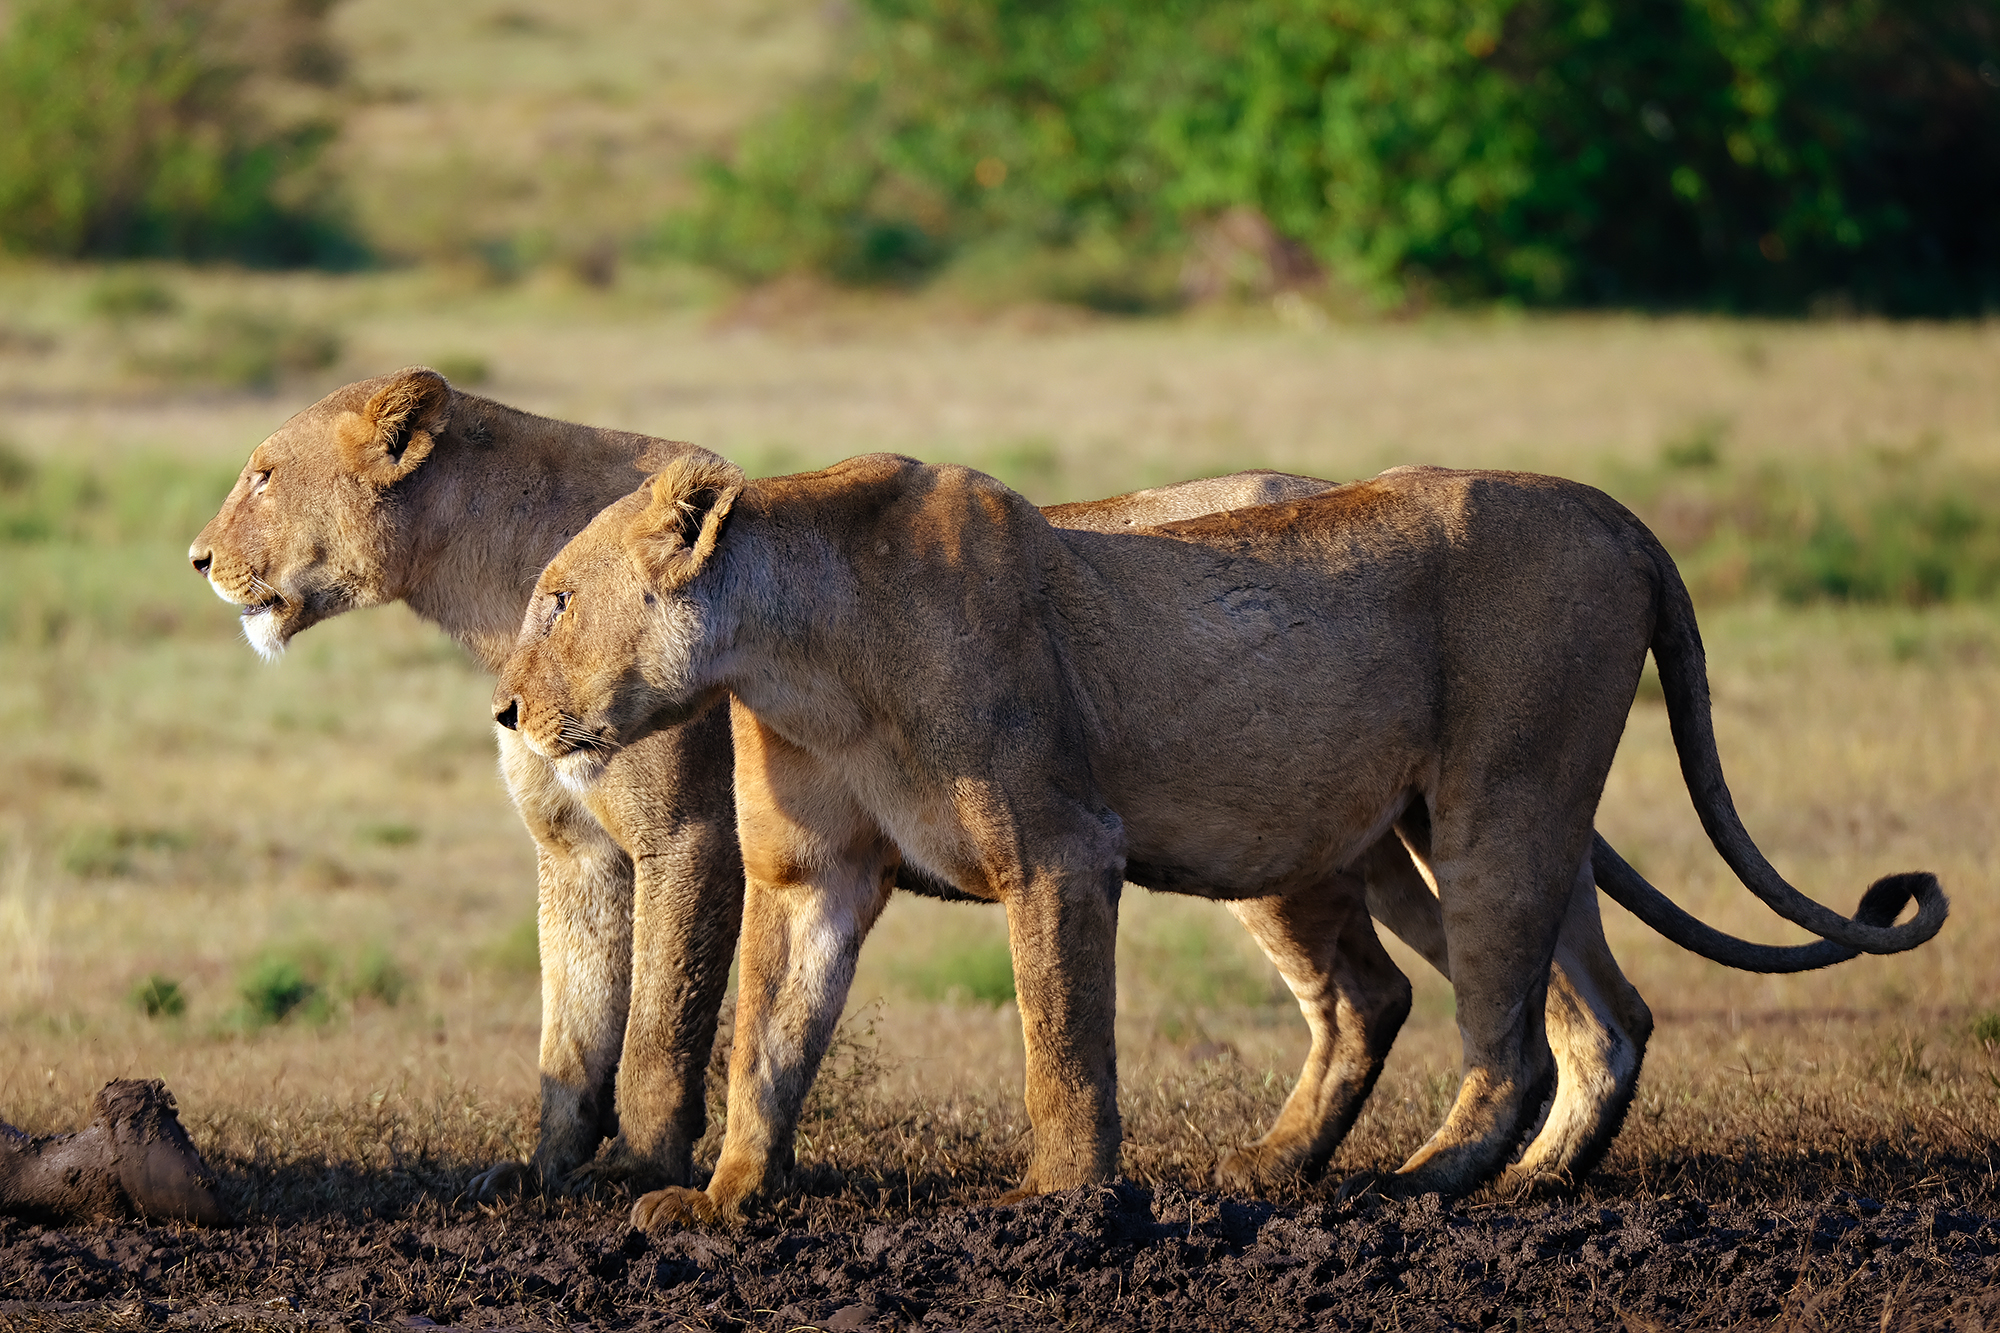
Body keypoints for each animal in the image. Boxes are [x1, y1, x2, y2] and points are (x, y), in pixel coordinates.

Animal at [492, 452, 1944, 1216]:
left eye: (555, 598)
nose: (503, 707)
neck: (801, 658)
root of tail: (1610, 509)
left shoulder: (1060, 847)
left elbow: (1062, 1041)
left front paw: (1061, 1205)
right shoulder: (807, 879)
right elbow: (768, 1042)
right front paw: (725, 1199)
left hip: (1499, 801)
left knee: (1511, 1034)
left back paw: (1421, 1183)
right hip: (1375, 835)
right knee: (1552, 1008)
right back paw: (1420, 1181)